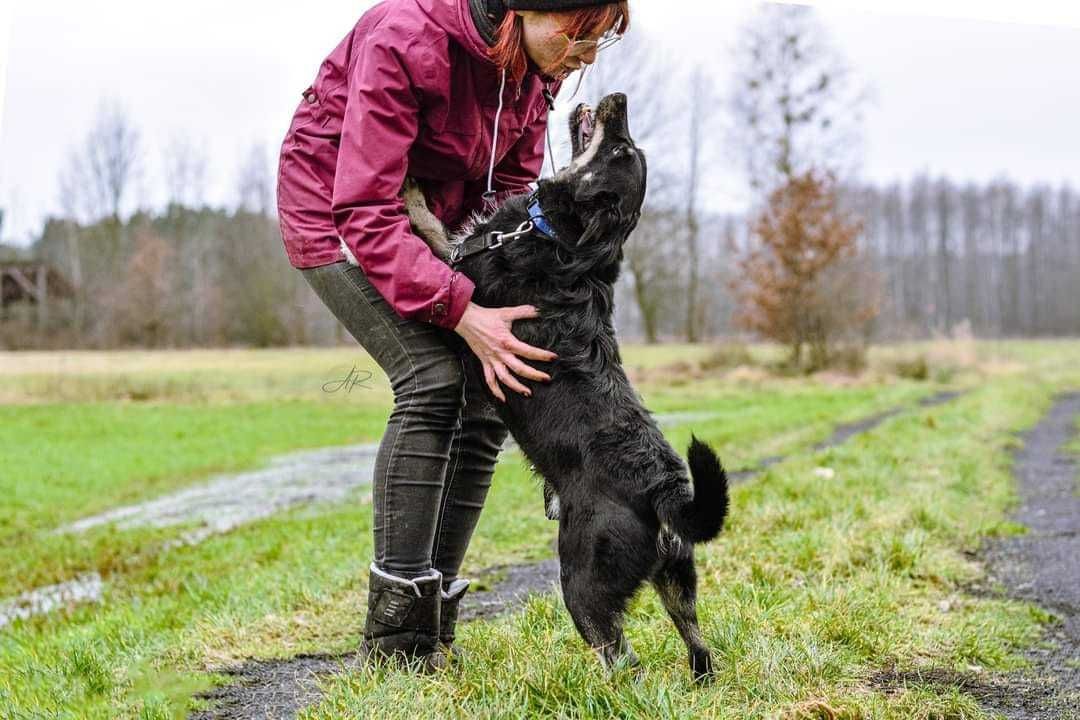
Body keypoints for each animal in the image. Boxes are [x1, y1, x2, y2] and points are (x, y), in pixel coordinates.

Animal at [401, 91, 730, 682]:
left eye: (621, 150)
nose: (619, 98)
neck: (562, 239)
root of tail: (663, 489)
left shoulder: (464, 273)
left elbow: (434, 235)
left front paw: (412, 192)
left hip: (583, 581)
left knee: (621, 657)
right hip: (678, 578)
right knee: (698, 642)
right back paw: (699, 682)